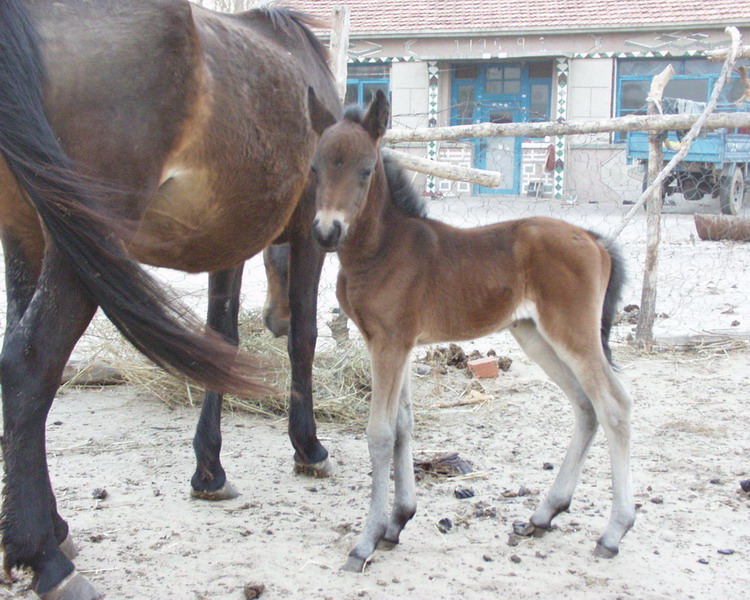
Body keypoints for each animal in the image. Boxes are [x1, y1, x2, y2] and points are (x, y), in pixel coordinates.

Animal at [0, 1, 340, 596]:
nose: (270, 318)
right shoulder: (304, 233)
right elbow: (304, 336)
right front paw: (308, 447)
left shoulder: (230, 238)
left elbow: (221, 339)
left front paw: (209, 471)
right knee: (27, 366)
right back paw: (45, 558)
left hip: (25, 234)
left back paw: (54, 530)